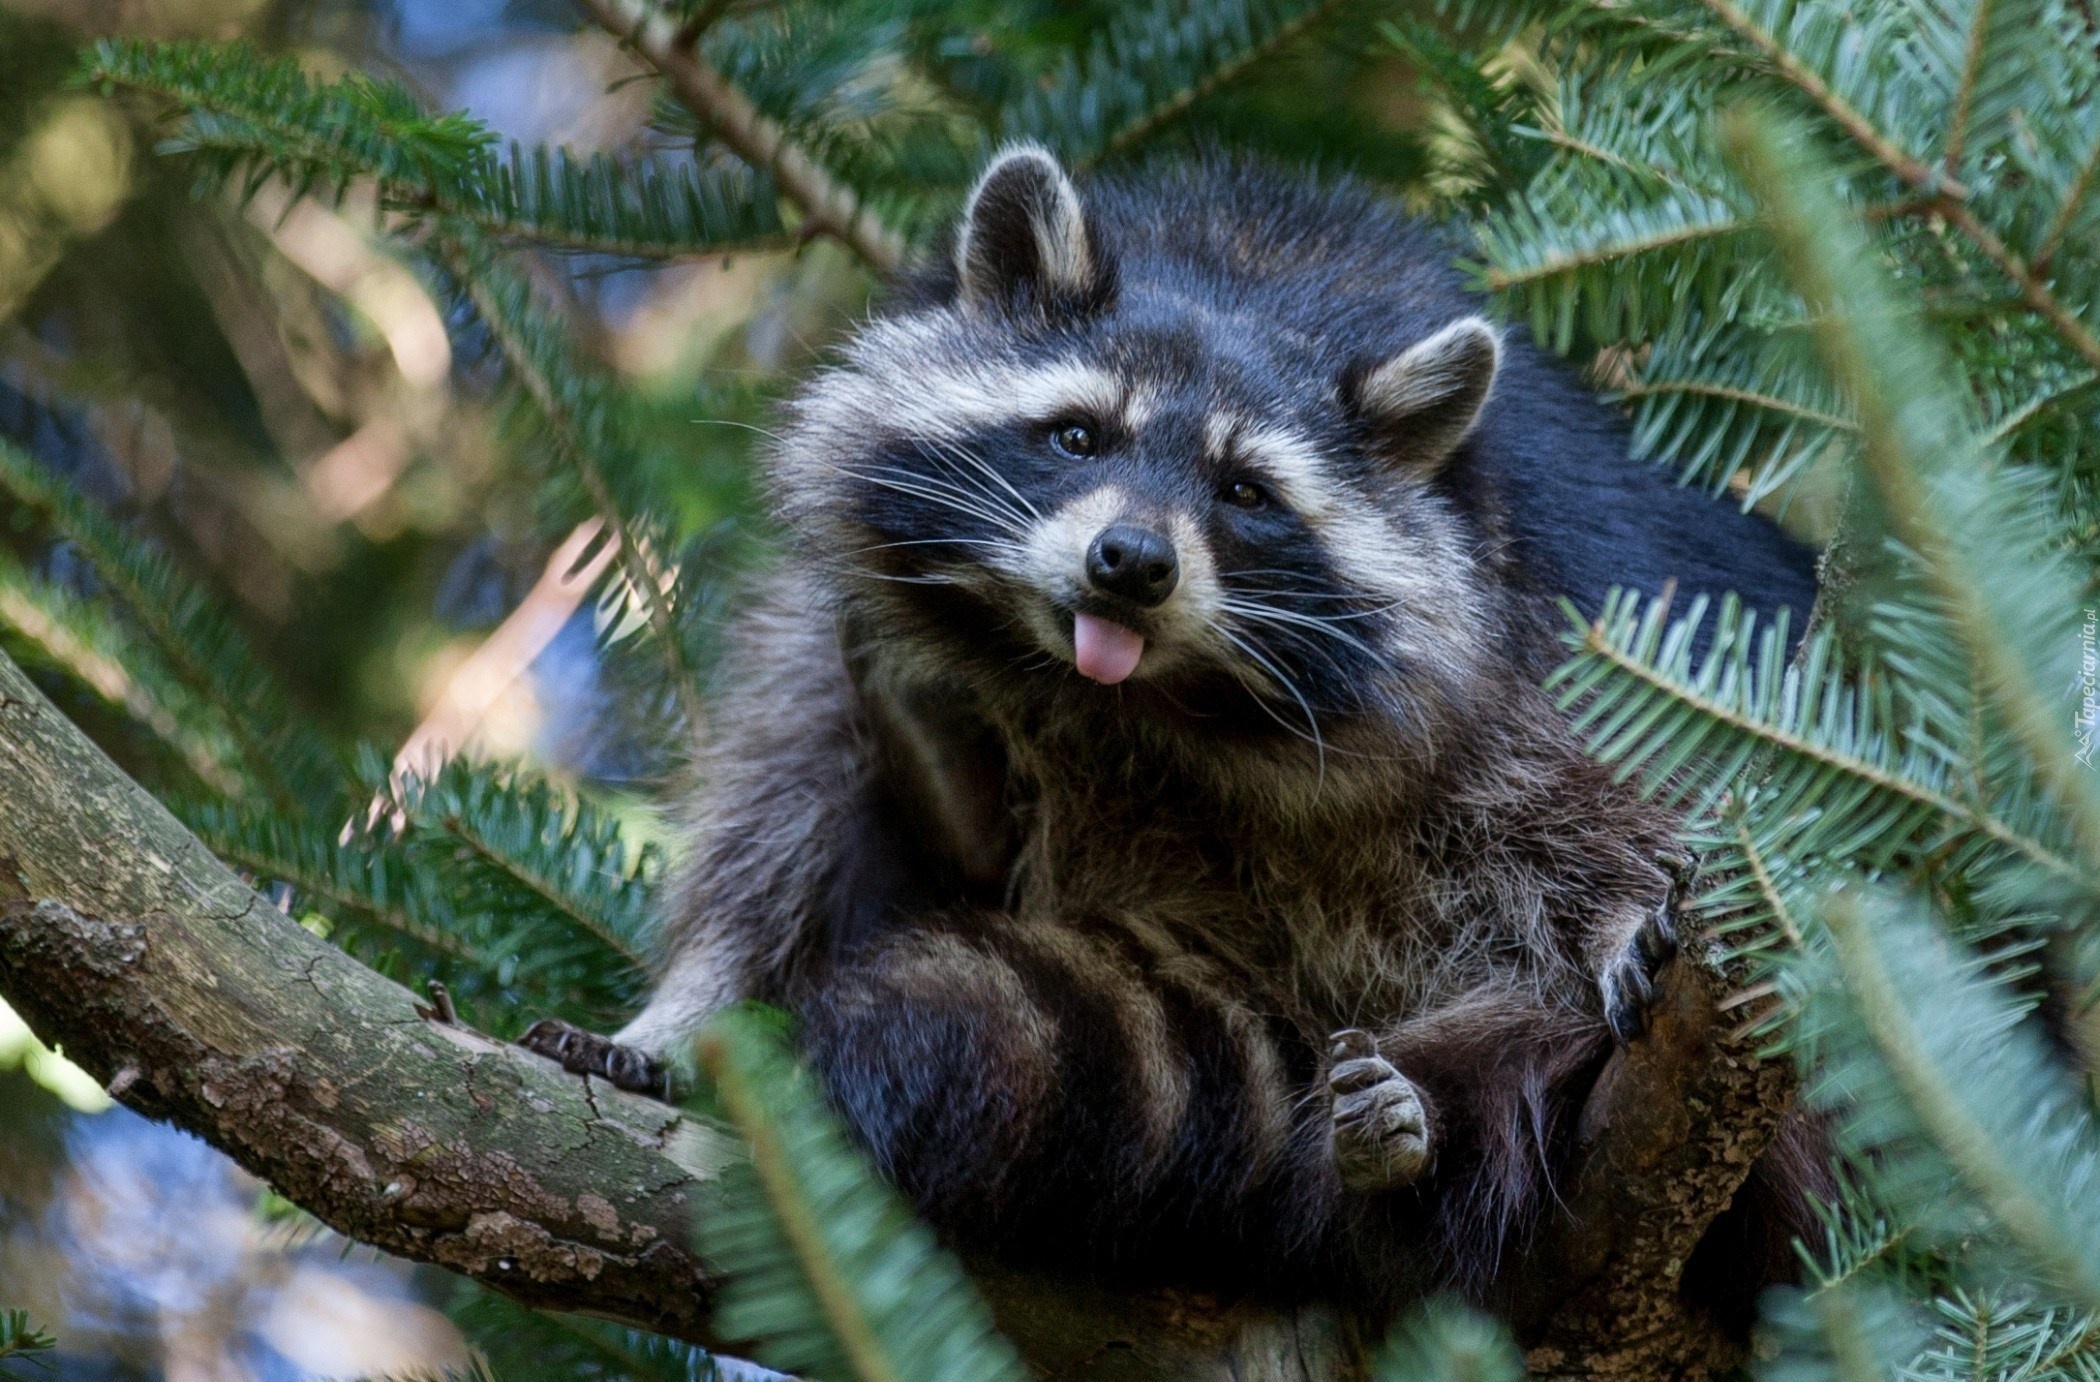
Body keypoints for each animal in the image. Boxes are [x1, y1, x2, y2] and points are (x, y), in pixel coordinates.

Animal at [525, 148, 1822, 1302]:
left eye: (1245, 492)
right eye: (1078, 434)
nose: (1133, 562)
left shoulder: (1540, 628)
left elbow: (1601, 798)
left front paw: (1615, 916)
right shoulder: (849, 612)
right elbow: (782, 805)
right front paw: (690, 1004)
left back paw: (1418, 1127)